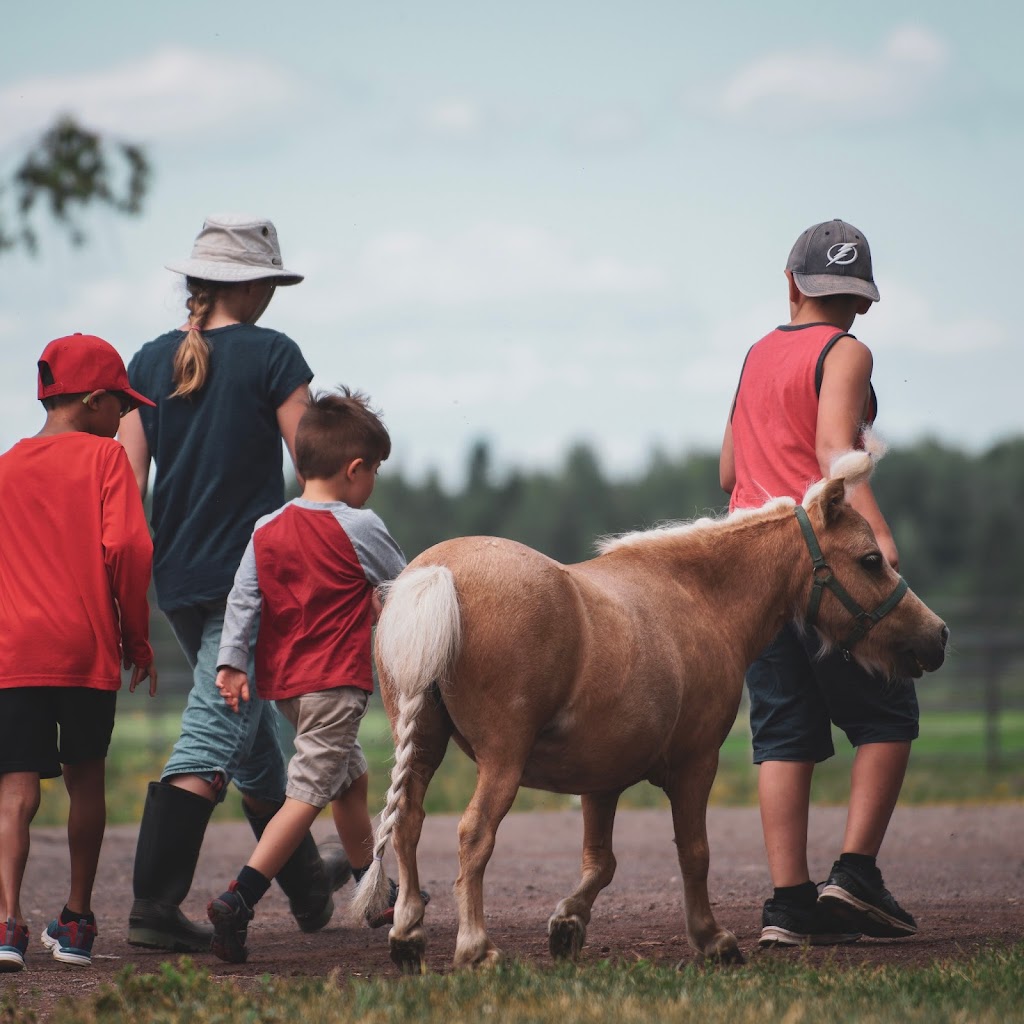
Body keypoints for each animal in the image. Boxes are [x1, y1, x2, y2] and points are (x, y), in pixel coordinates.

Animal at [352, 448, 942, 966]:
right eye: (871, 560)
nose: (937, 635)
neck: (697, 599)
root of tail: (439, 573)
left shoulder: (601, 779)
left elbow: (601, 862)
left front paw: (568, 925)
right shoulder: (696, 763)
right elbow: (694, 852)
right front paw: (712, 939)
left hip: (422, 746)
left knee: (407, 823)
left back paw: (408, 935)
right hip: (503, 760)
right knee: (473, 834)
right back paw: (476, 947)